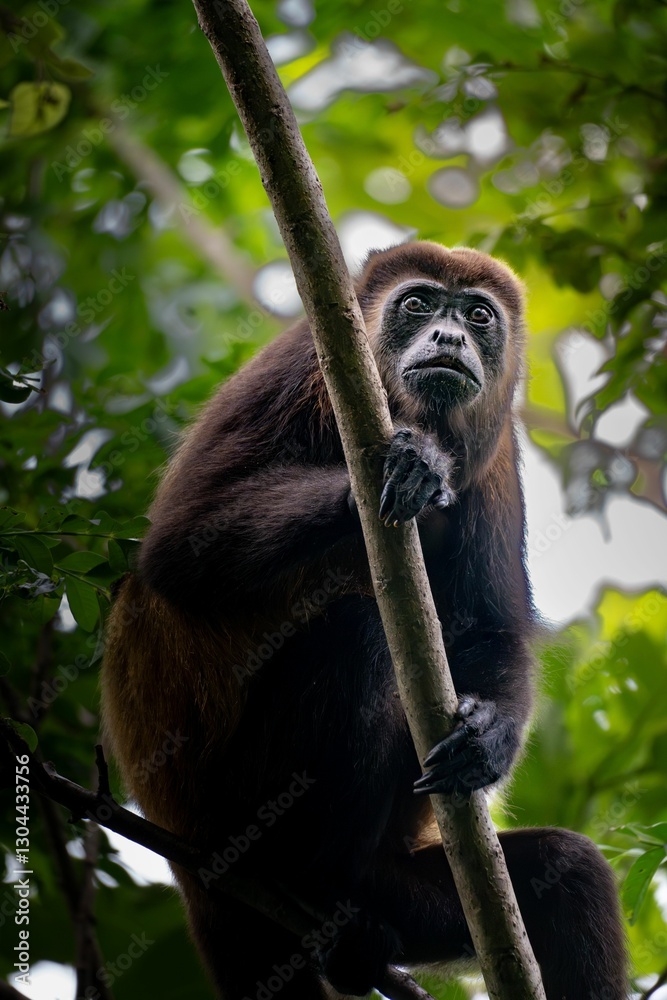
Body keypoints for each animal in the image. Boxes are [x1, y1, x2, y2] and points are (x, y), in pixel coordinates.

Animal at [101, 241, 628, 1000]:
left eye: (477, 315)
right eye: (418, 303)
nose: (449, 338)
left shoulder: (497, 443)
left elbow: (491, 626)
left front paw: (489, 738)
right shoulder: (299, 366)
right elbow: (179, 547)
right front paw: (402, 469)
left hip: (412, 890)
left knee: (570, 873)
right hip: (226, 797)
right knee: (354, 630)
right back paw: (319, 886)